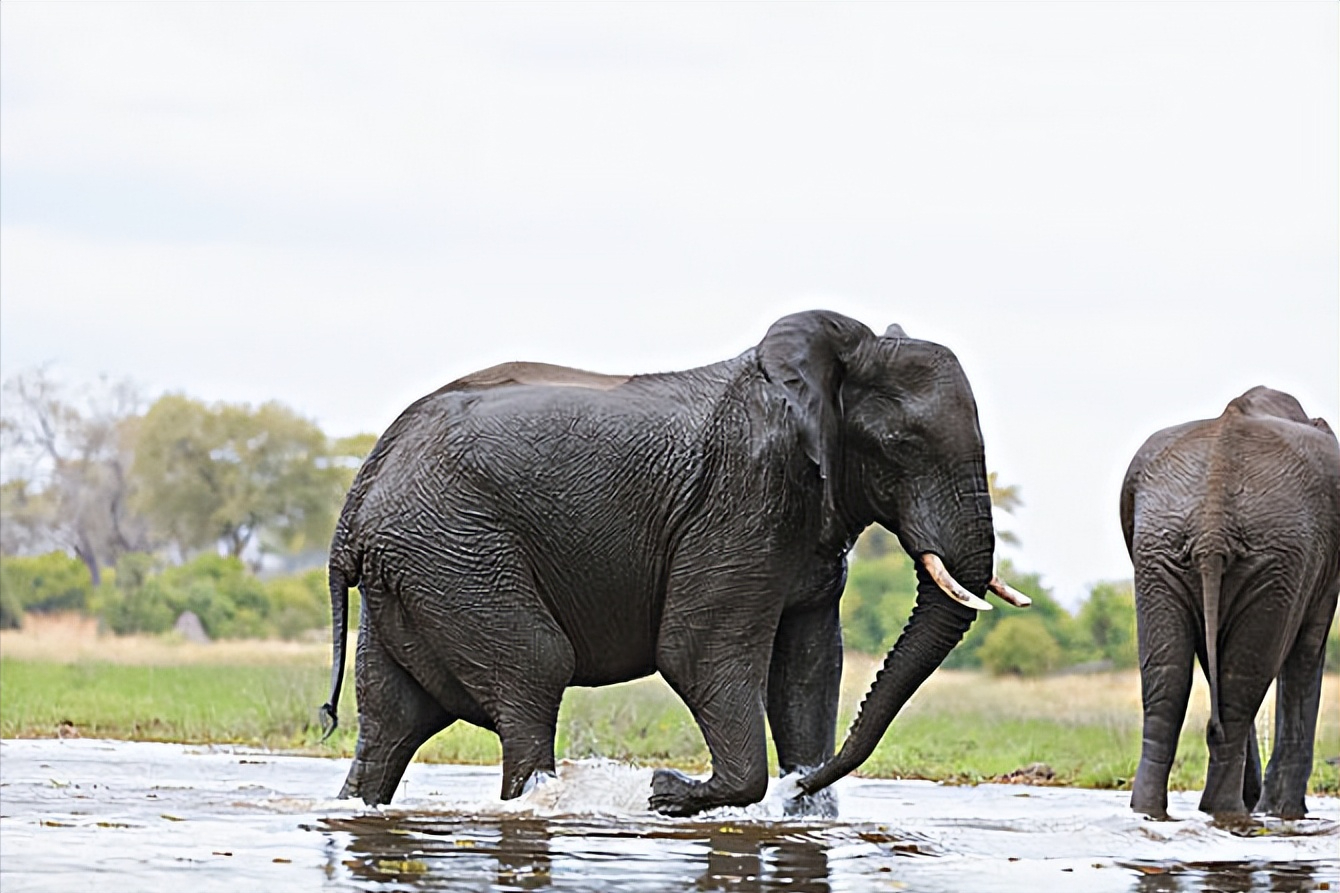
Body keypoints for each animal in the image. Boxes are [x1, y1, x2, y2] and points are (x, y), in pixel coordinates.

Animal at [316, 308, 1023, 815]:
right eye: (902, 445)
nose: (800, 785)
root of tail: (356, 502)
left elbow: (809, 667)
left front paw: (801, 808)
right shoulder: (740, 498)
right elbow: (696, 650)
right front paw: (672, 795)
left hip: (412, 571)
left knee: (392, 720)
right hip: (455, 553)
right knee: (535, 674)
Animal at [1120, 386, 1340, 815]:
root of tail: (1213, 518)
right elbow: (1307, 651)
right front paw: (1282, 812)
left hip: (1160, 551)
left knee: (1168, 686)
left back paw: (1153, 811)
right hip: (1272, 559)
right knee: (1242, 684)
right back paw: (1227, 811)